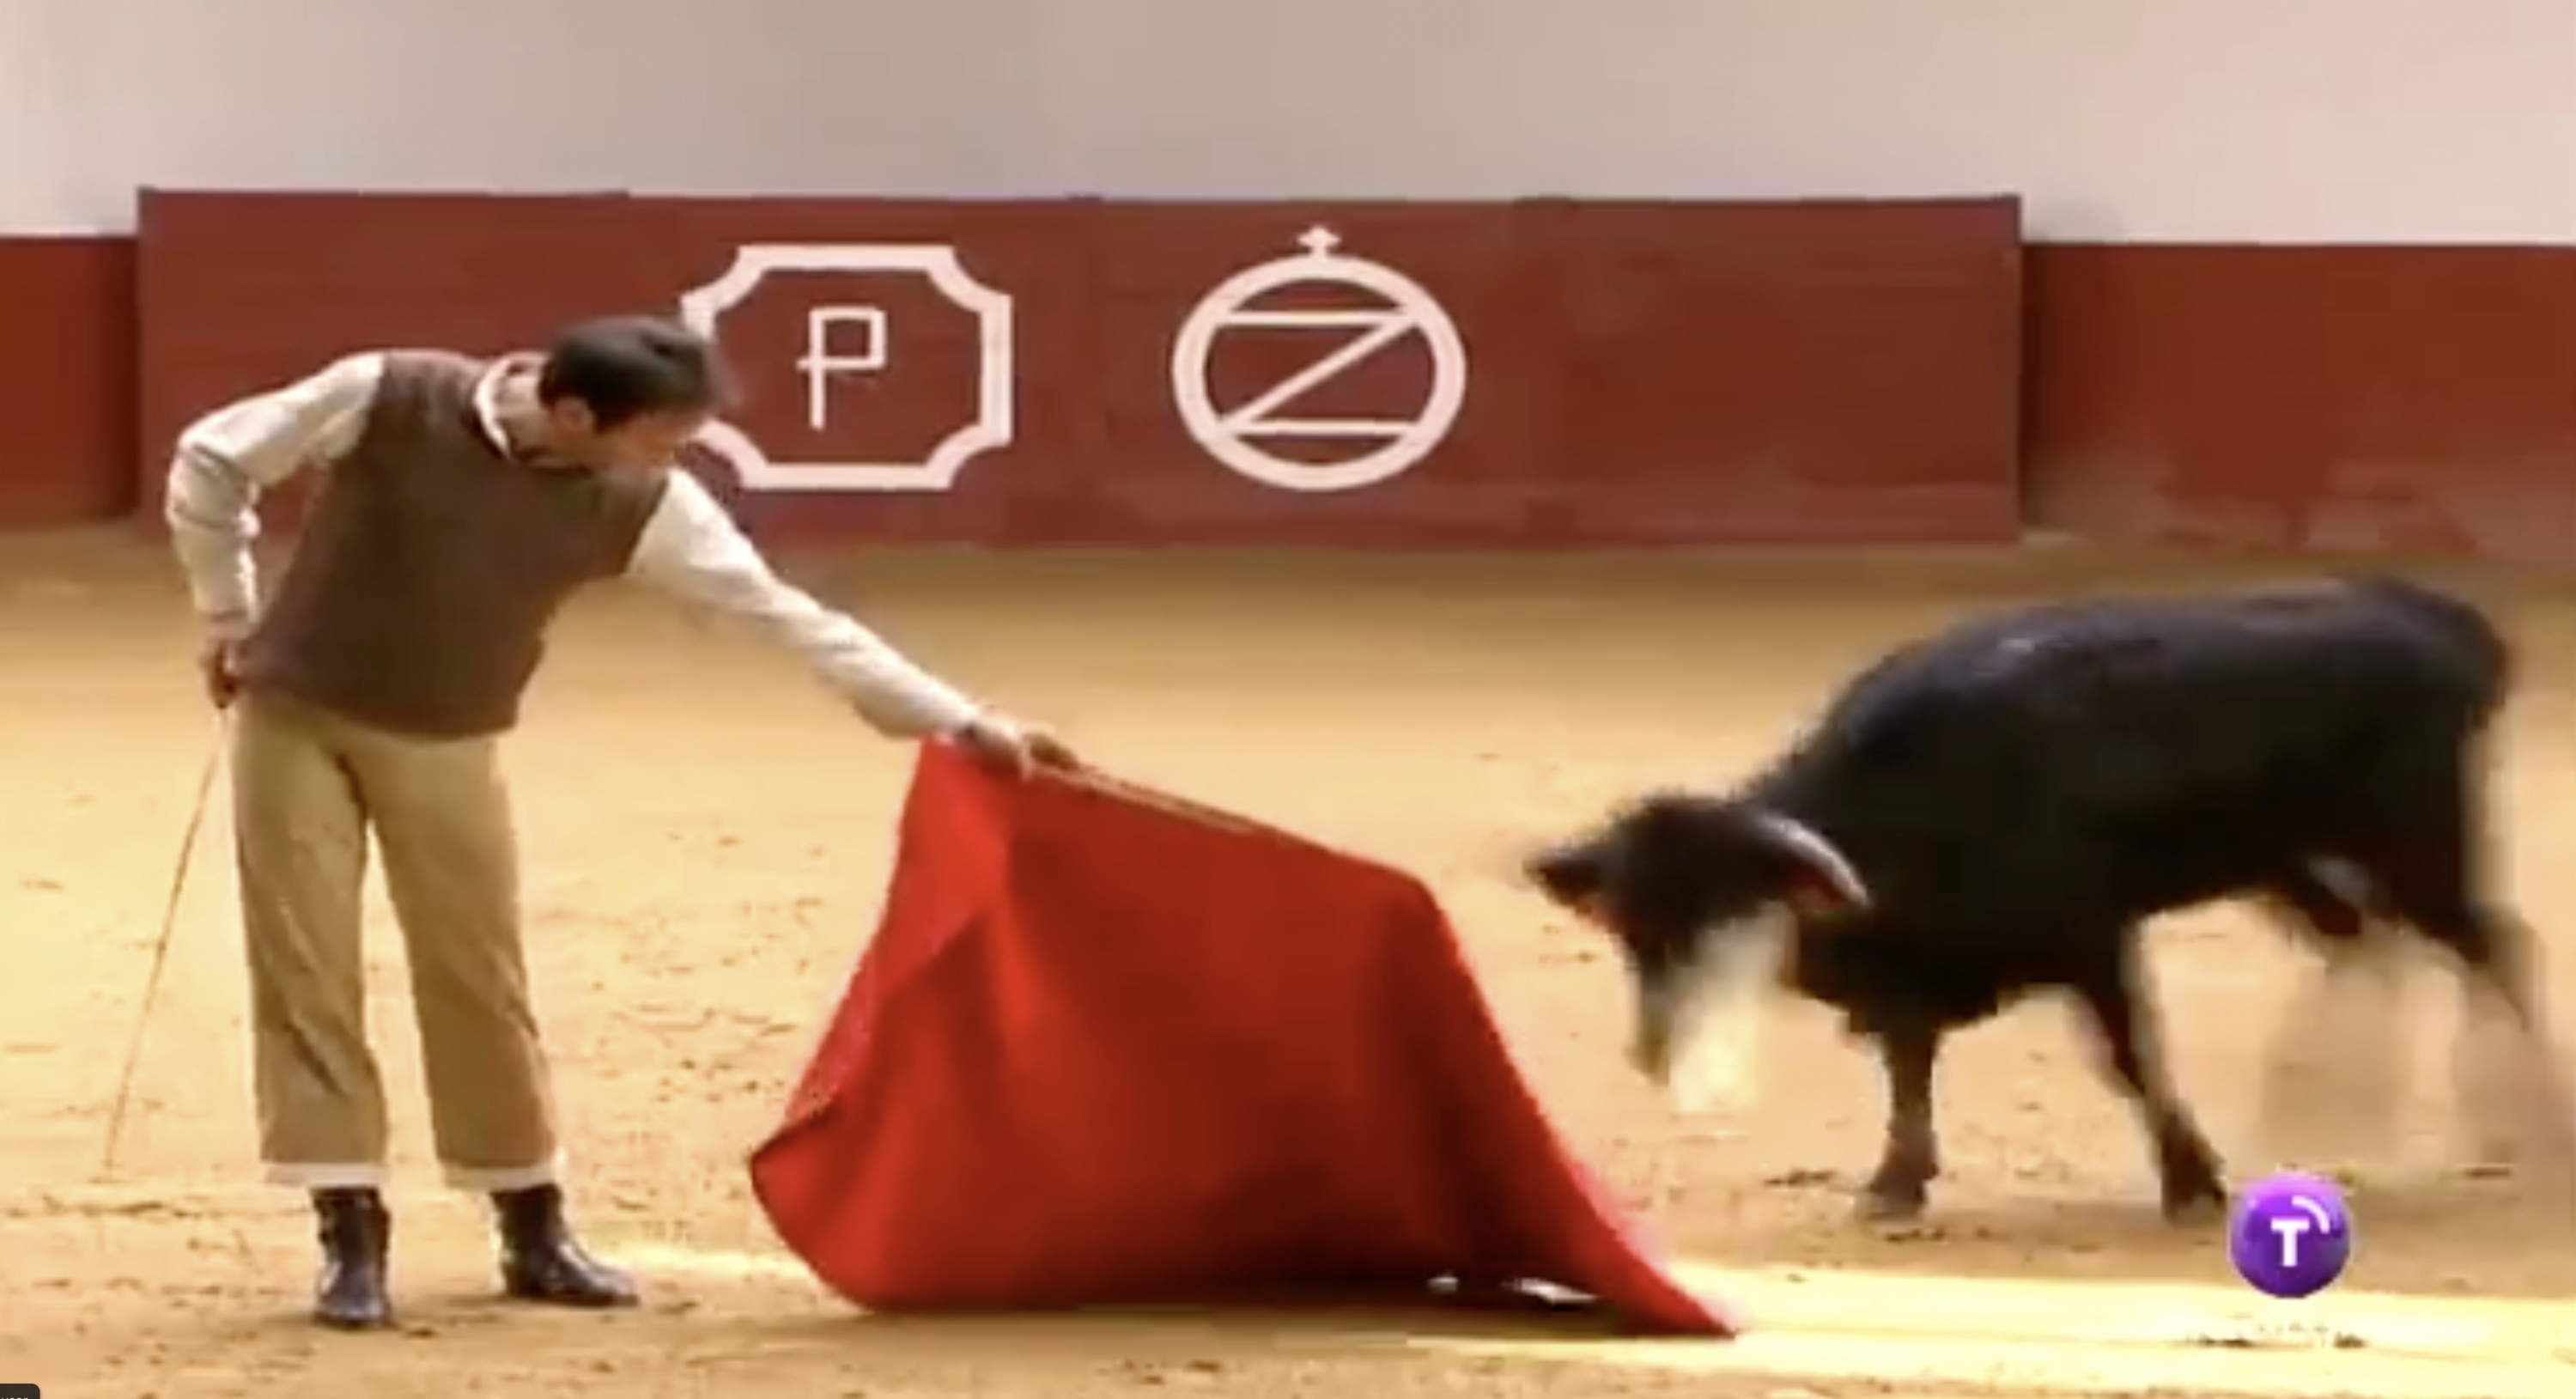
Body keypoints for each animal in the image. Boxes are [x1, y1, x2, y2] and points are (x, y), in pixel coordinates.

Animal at [1525, 575, 2576, 1221]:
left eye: (1731, 908)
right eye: (1627, 924)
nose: (1654, 1050)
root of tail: (2442, 624)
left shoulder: (2090, 939)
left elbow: (2129, 1058)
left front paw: (2190, 1180)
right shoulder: (1917, 980)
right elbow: (1909, 1068)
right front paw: (1895, 1184)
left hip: (2420, 845)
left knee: (2489, 947)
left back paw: (2527, 1123)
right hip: (2287, 862)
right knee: (2368, 943)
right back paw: (2331, 1102)